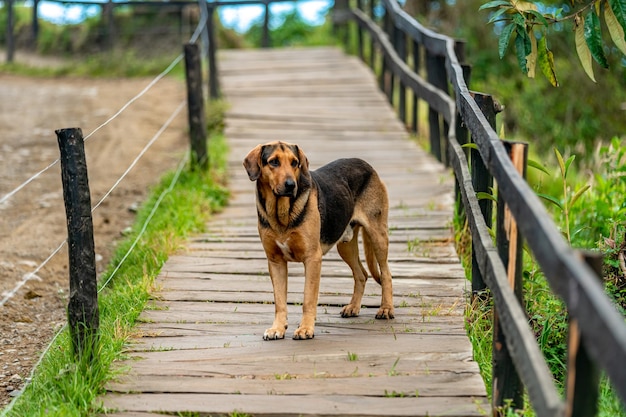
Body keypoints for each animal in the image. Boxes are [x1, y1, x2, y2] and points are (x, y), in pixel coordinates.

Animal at [243, 141, 392, 340]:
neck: (281, 212)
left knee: (386, 274)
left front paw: (306, 329)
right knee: (361, 274)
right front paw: (277, 328)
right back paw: (353, 307)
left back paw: (386, 309)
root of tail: (367, 165)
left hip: (378, 236)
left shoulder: (312, 259)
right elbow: (280, 302)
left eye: (295, 163)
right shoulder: (275, 262)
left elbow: (308, 298)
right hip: (345, 245)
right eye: (273, 162)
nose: (291, 185)